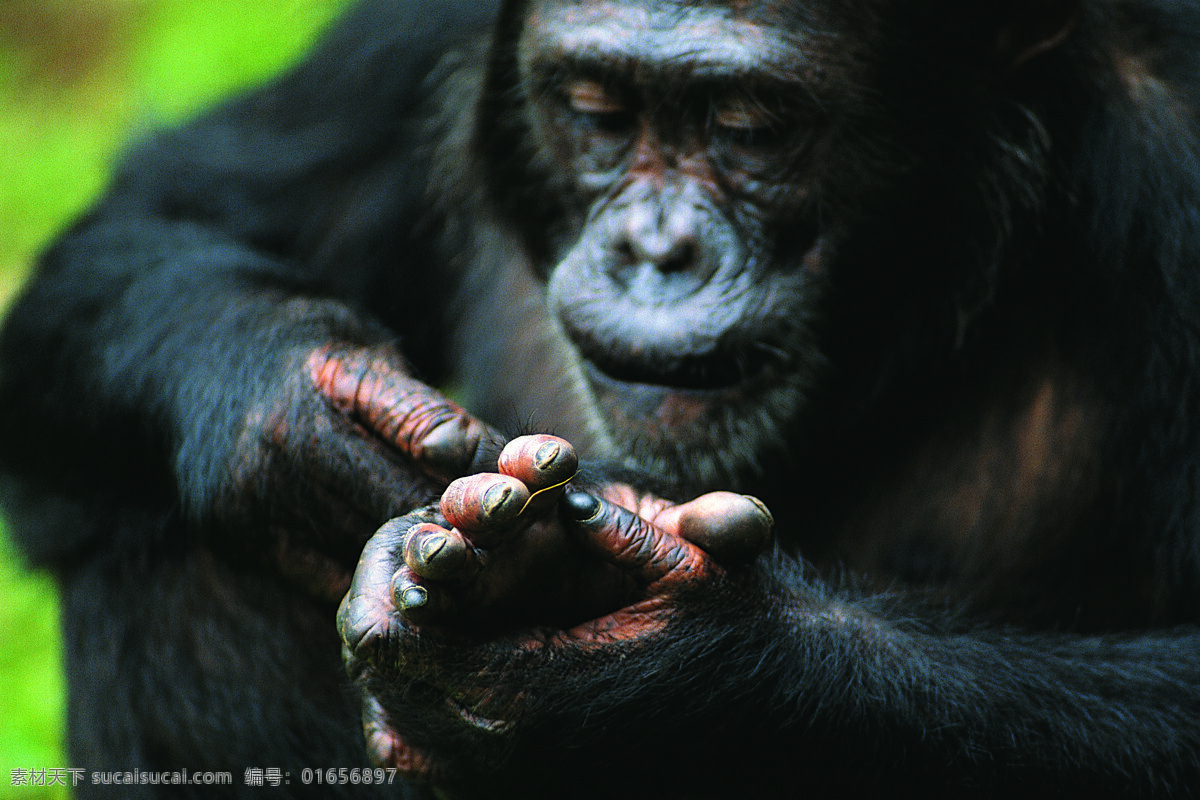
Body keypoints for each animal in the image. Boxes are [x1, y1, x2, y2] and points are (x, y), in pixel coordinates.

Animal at [2, 0, 1200, 796]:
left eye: (752, 126)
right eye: (597, 110)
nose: (654, 248)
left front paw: (680, 675)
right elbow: (170, 204)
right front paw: (302, 427)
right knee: (173, 554)